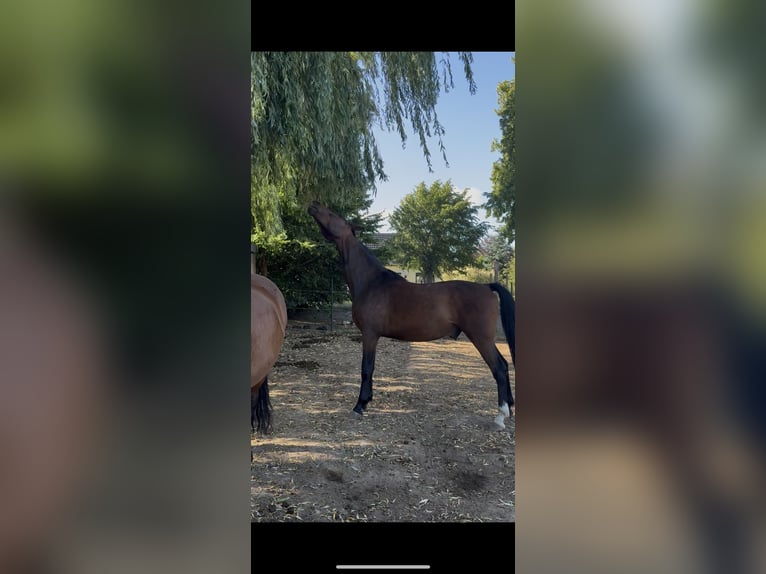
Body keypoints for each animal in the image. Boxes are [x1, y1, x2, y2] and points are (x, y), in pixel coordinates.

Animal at [308, 201, 516, 429]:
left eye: (332, 214)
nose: (313, 205)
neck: (371, 282)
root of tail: (487, 287)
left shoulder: (370, 335)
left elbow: (367, 368)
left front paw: (360, 405)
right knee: (504, 365)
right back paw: (509, 409)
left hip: (481, 338)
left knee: (499, 367)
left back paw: (500, 416)